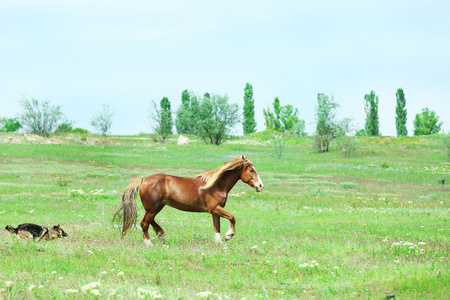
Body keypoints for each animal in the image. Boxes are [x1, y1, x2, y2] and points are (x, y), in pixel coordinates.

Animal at [112, 156, 266, 245]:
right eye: (251, 170)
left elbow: (217, 227)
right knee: (144, 223)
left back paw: (161, 236)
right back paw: (149, 243)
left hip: (157, 207)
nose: (260, 186)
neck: (216, 185)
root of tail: (143, 180)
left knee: (150, 222)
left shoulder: (215, 211)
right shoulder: (215, 208)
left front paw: (219, 242)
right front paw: (228, 236)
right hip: (152, 208)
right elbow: (232, 218)